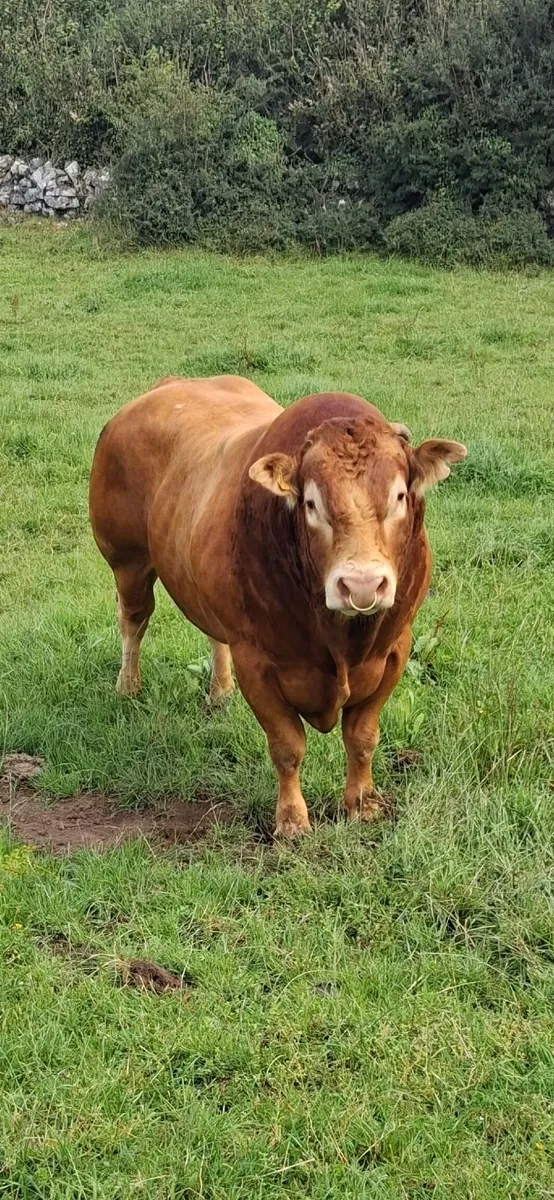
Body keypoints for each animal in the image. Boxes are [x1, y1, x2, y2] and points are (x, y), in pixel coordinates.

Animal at [89, 375, 466, 837]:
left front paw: (362, 804)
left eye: (398, 496)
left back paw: (220, 691)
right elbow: (287, 746)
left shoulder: (395, 649)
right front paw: (291, 820)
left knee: (211, 633)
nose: (361, 584)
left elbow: (362, 737)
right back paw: (128, 685)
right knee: (133, 620)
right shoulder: (257, 662)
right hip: (127, 560)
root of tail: (167, 386)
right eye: (311, 503)